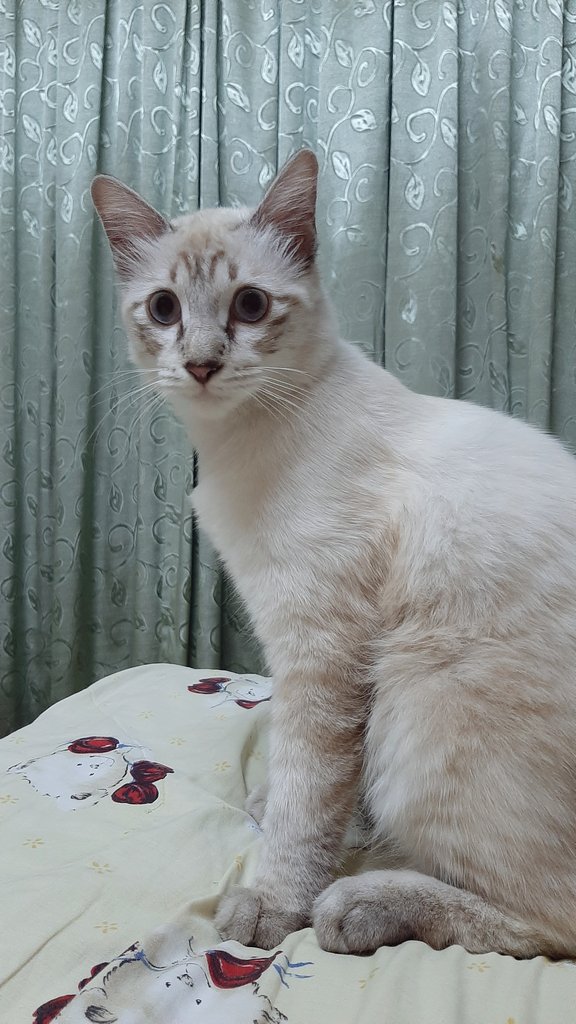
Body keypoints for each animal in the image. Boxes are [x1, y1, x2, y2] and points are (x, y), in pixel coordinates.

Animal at [91, 150, 576, 959]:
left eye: (250, 306)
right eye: (163, 310)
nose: (201, 364)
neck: (235, 444)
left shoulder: (321, 647)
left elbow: (307, 794)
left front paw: (273, 902)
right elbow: (328, 788)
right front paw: (323, 822)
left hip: (422, 699)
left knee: (551, 920)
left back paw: (361, 906)